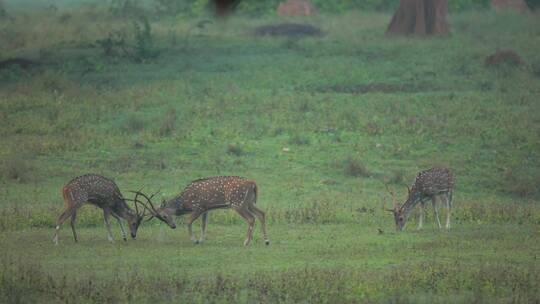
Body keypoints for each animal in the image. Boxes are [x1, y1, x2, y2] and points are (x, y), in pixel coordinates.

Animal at [137, 177, 268, 246]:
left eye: (164, 215)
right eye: (160, 217)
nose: (173, 226)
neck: (185, 203)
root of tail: (253, 184)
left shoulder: (199, 207)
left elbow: (188, 221)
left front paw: (194, 240)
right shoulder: (206, 209)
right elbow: (204, 224)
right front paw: (201, 239)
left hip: (238, 204)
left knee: (251, 218)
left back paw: (246, 242)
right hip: (249, 202)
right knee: (262, 214)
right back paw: (266, 241)